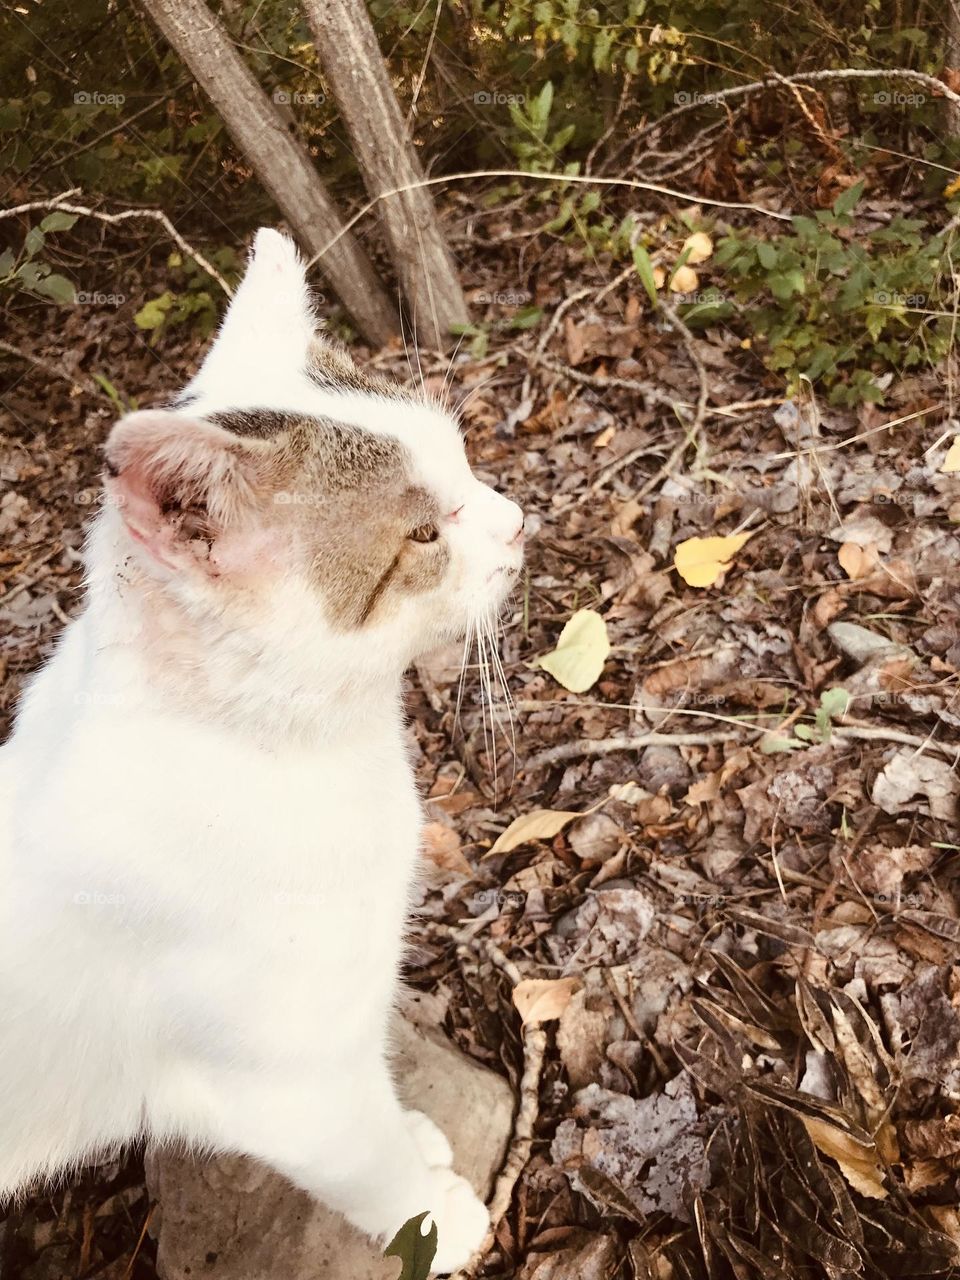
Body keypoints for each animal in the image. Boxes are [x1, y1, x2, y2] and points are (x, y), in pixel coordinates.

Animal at [0, 227, 527, 1269]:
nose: (516, 522)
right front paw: (437, 1223)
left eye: (462, 464)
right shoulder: (286, 1092)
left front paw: (417, 1138)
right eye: (422, 532)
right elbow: (369, 1165)